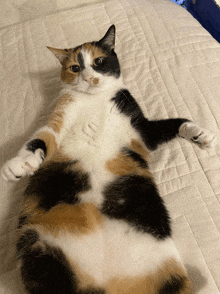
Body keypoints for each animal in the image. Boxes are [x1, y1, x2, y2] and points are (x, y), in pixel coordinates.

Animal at [0, 25, 216, 294]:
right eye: (75, 68)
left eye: (99, 61)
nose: (90, 77)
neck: (97, 99)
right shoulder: (61, 116)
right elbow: (42, 139)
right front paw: (19, 165)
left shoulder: (142, 131)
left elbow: (176, 123)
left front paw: (201, 135)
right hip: (38, 247)